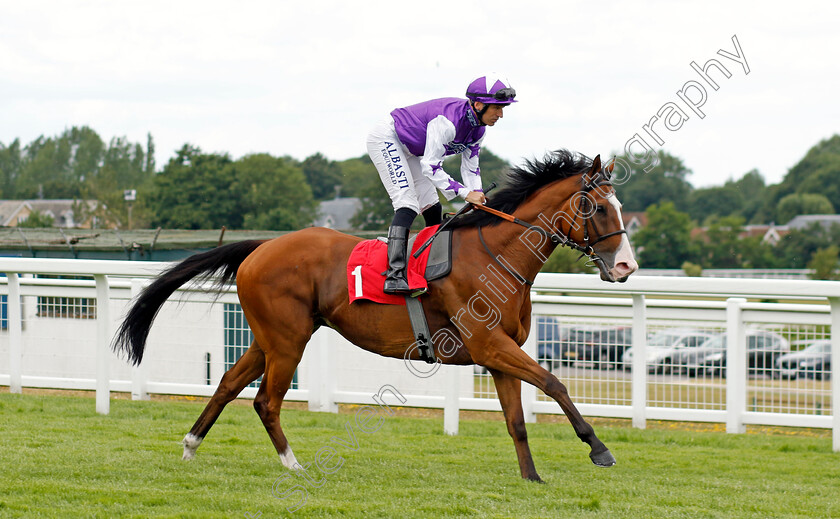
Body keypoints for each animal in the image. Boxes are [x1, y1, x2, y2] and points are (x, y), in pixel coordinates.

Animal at [111, 150, 636, 484]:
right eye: (597, 207)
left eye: (619, 206)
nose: (626, 267)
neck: (496, 256)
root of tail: (261, 247)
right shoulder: (490, 345)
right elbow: (555, 384)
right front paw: (599, 449)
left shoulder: (498, 352)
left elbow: (517, 421)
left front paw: (532, 478)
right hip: (288, 341)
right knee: (265, 401)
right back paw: (294, 465)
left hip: (268, 338)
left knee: (227, 384)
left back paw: (190, 444)